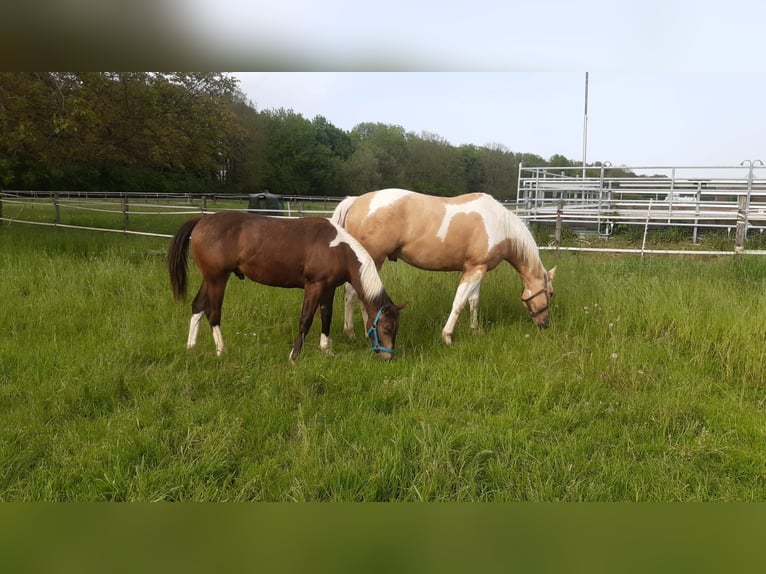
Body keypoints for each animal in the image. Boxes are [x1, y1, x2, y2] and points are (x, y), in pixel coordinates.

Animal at [167, 212, 404, 364]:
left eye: (396, 329)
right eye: (385, 328)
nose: (387, 357)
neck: (339, 249)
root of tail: (202, 219)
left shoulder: (328, 289)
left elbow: (326, 317)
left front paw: (327, 350)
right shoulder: (314, 286)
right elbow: (306, 320)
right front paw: (294, 356)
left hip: (209, 279)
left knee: (197, 306)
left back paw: (191, 348)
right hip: (217, 279)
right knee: (213, 313)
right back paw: (221, 350)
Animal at [332, 190, 556, 346]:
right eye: (551, 293)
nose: (545, 324)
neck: (499, 225)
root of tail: (356, 201)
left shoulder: (478, 269)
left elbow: (473, 300)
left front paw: (475, 330)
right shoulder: (474, 270)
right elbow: (459, 302)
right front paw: (447, 336)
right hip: (372, 261)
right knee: (355, 294)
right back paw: (356, 333)